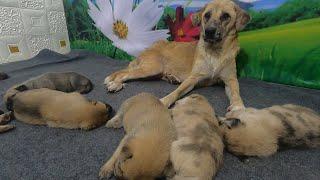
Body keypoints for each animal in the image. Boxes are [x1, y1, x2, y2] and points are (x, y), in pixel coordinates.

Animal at [104, 0, 249, 112]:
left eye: (226, 16)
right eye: (207, 15)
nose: (209, 32)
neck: (215, 52)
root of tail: (149, 48)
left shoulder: (231, 80)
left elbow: (236, 93)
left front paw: (238, 106)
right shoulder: (193, 78)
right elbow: (177, 92)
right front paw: (164, 102)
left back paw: (171, 77)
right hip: (152, 68)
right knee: (124, 74)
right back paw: (116, 84)